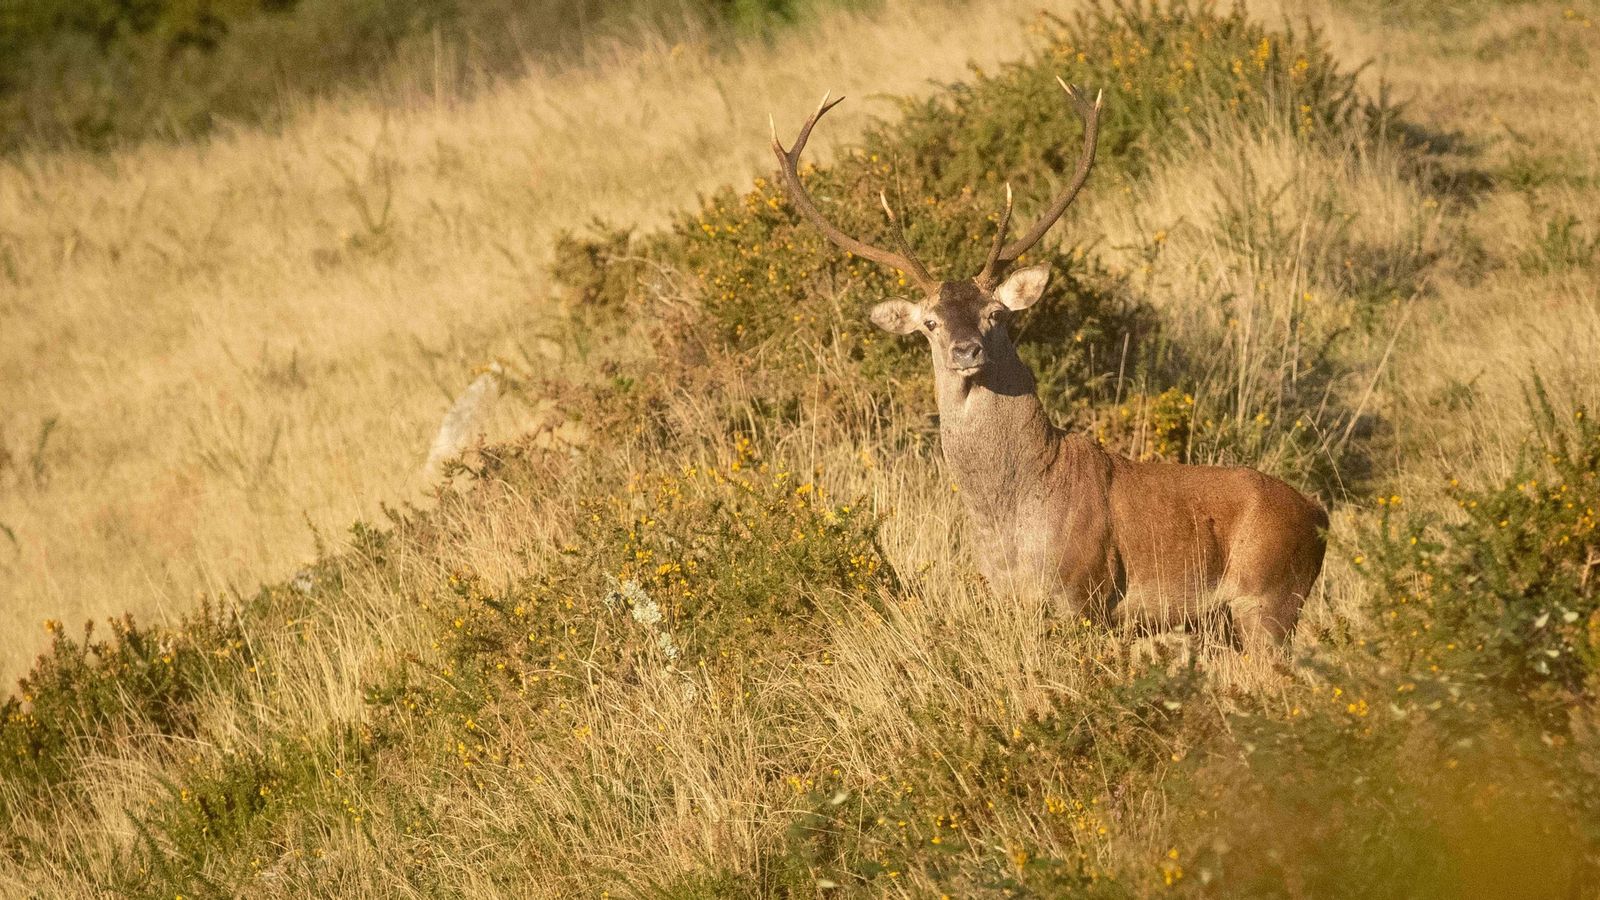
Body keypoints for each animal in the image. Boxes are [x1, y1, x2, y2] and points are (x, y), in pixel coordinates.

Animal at [770, 81, 1328, 651]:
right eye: (929, 322)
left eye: (995, 314)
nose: (966, 350)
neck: (1011, 526)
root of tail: (1318, 513)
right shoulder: (1009, 599)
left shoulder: (1087, 592)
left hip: (1269, 599)